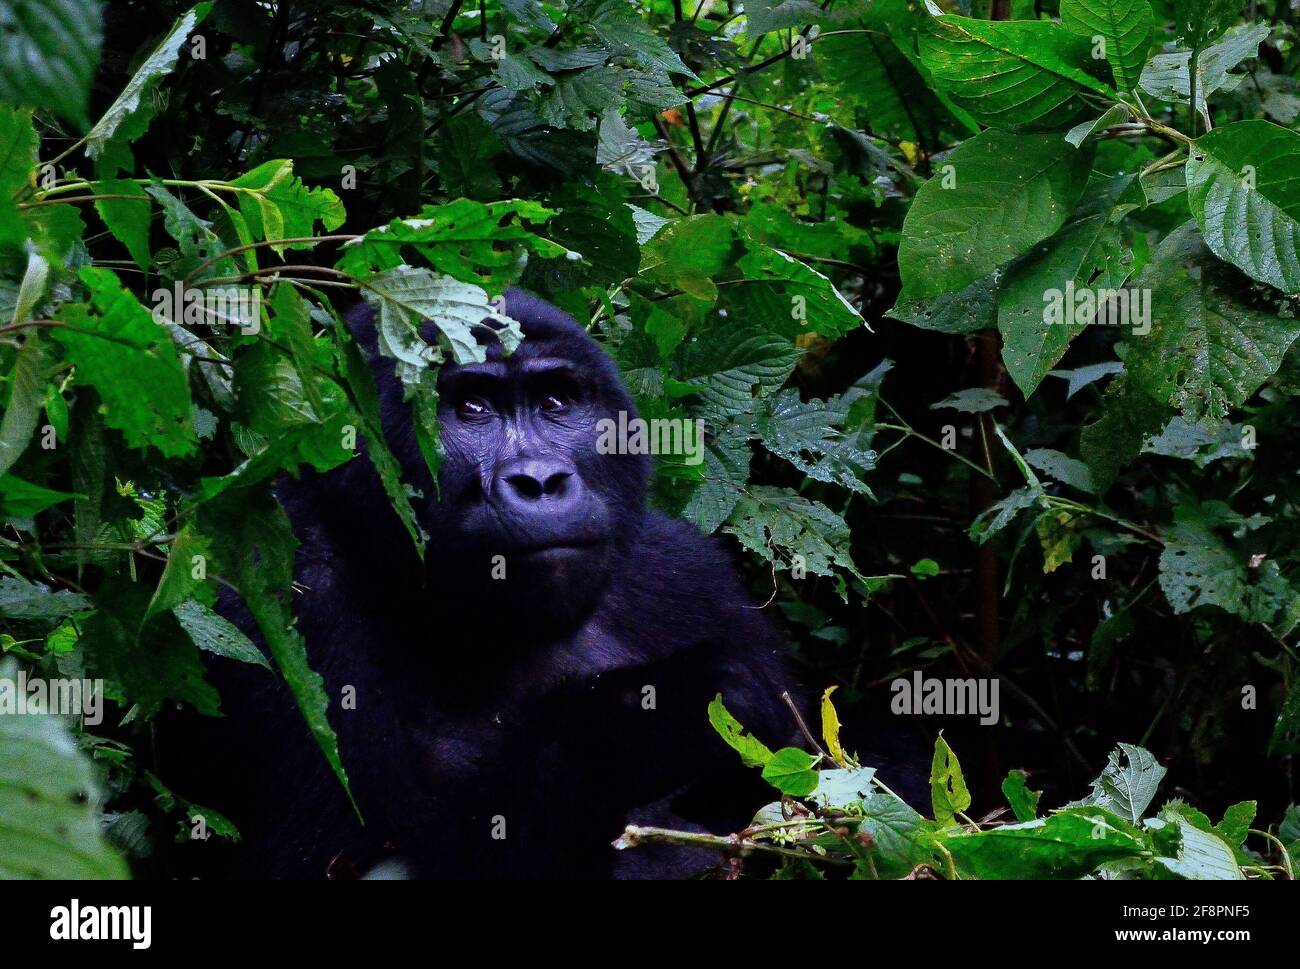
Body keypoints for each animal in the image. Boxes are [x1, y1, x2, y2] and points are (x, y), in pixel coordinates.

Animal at [165, 287, 790, 879]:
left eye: (555, 402)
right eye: (471, 408)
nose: (540, 481)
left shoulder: (690, 573)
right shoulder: (277, 598)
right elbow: (323, 861)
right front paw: (653, 715)